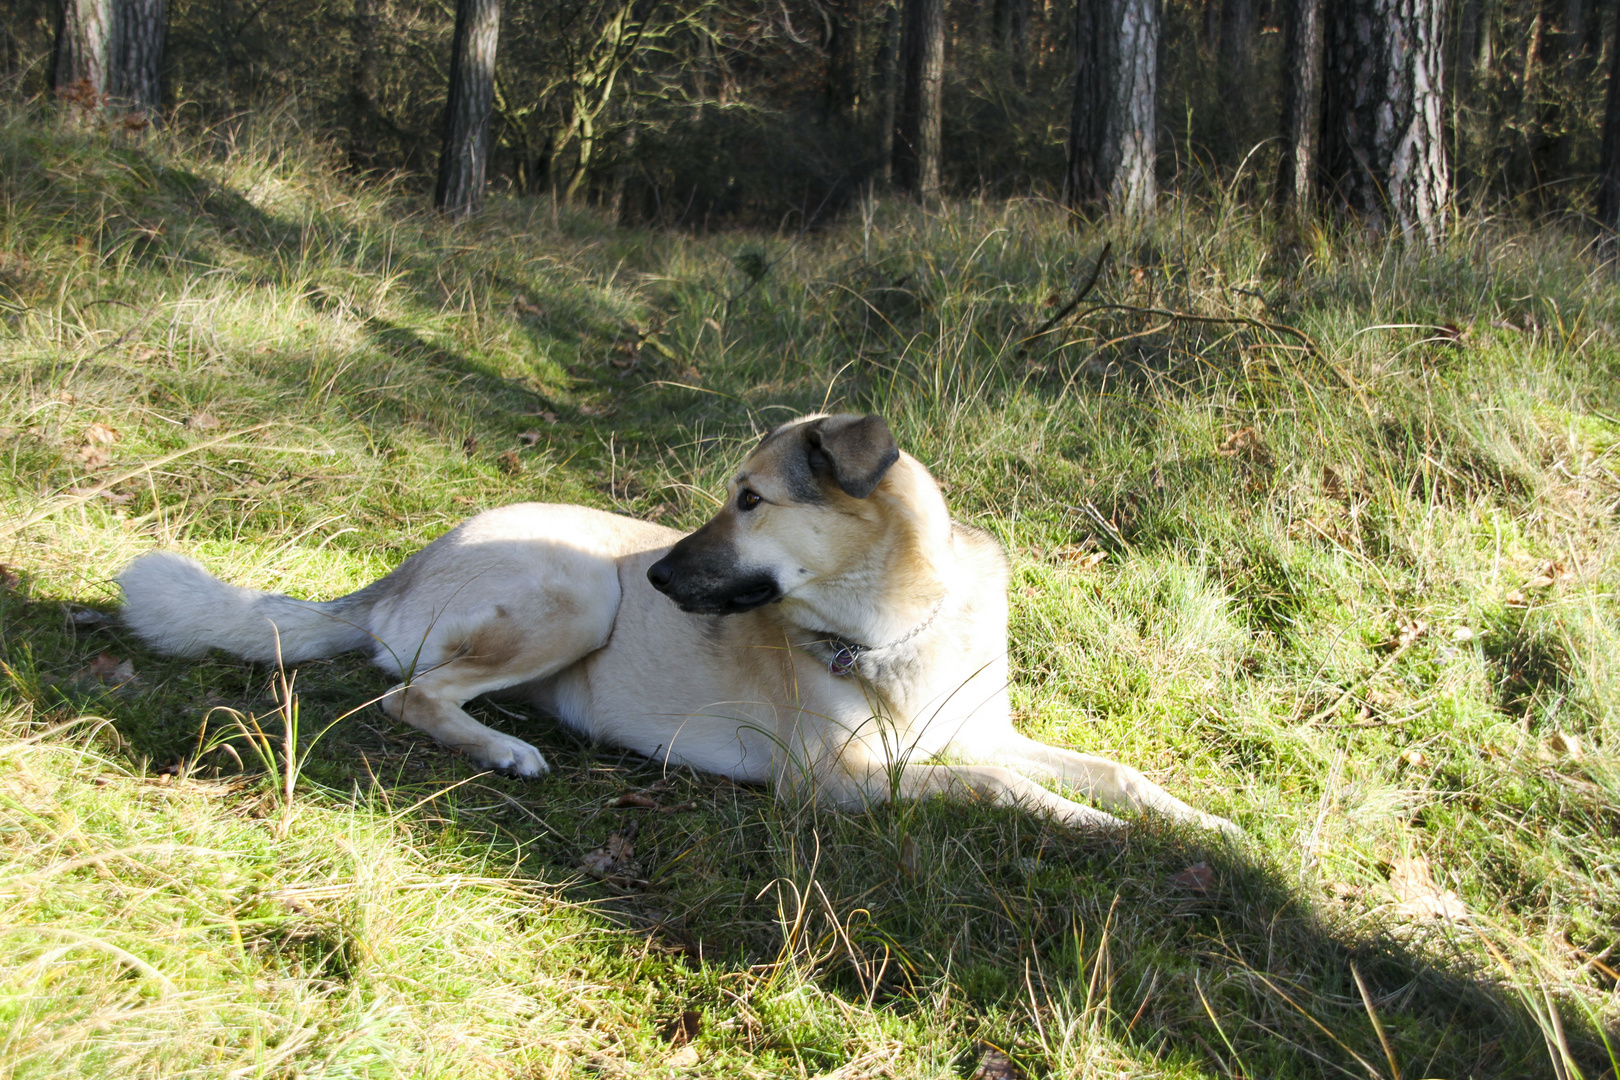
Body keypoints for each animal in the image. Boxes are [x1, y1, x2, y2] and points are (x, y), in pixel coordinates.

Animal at [123, 414, 1237, 835]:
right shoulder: (834, 783)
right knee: (411, 695)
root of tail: (415, 558)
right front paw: (1096, 831)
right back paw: (504, 749)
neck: (899, 622)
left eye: (751, 500)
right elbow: (1001, 788)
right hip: (580, 593)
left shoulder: (979, 731)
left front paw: (1201, 824)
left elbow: (1113, 771)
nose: (658, 576)